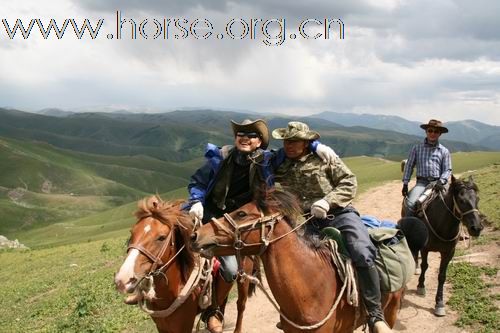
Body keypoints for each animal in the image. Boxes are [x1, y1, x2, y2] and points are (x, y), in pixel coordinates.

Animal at [114, 196, 260, 330]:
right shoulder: (161, 326)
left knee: (241, 305)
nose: (123, 279)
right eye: (132, 233)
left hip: (243, 279)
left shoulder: (184, 324)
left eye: (161, 238)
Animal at [404, 175, 482, 316]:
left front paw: (439, 303)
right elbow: (425, 266)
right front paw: (421, 286)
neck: (441, 224)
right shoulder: (425, 248)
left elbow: (442, 276)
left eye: (477, 199)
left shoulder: (449, 252)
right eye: (461, 200)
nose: (476, 228)